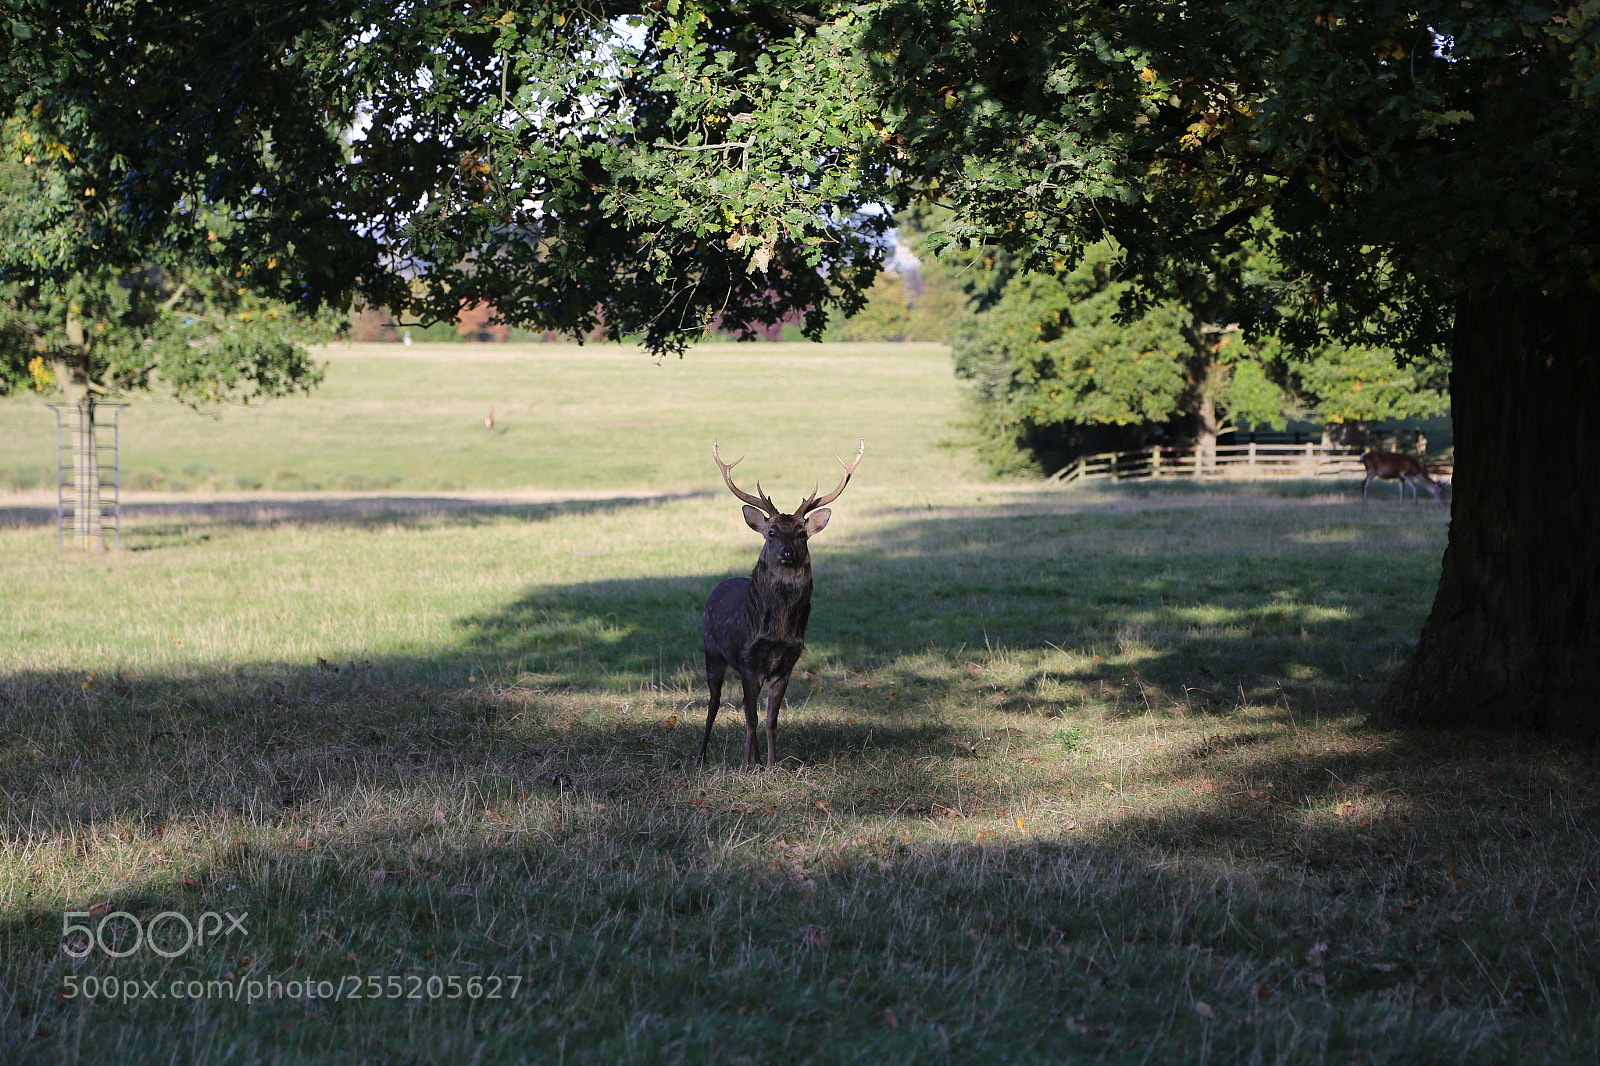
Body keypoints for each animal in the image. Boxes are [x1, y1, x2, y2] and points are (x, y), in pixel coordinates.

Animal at [698, 439, 864, 770]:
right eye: (772, 532)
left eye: (801, 534)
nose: (787, 554)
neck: (776, 631)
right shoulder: (747, 660)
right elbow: (750, 719)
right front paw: (746, 768)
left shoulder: (786, 664)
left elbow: (771, 720)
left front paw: (772, 765)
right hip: (712, 649)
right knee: (714, 702)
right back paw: (701, 756)